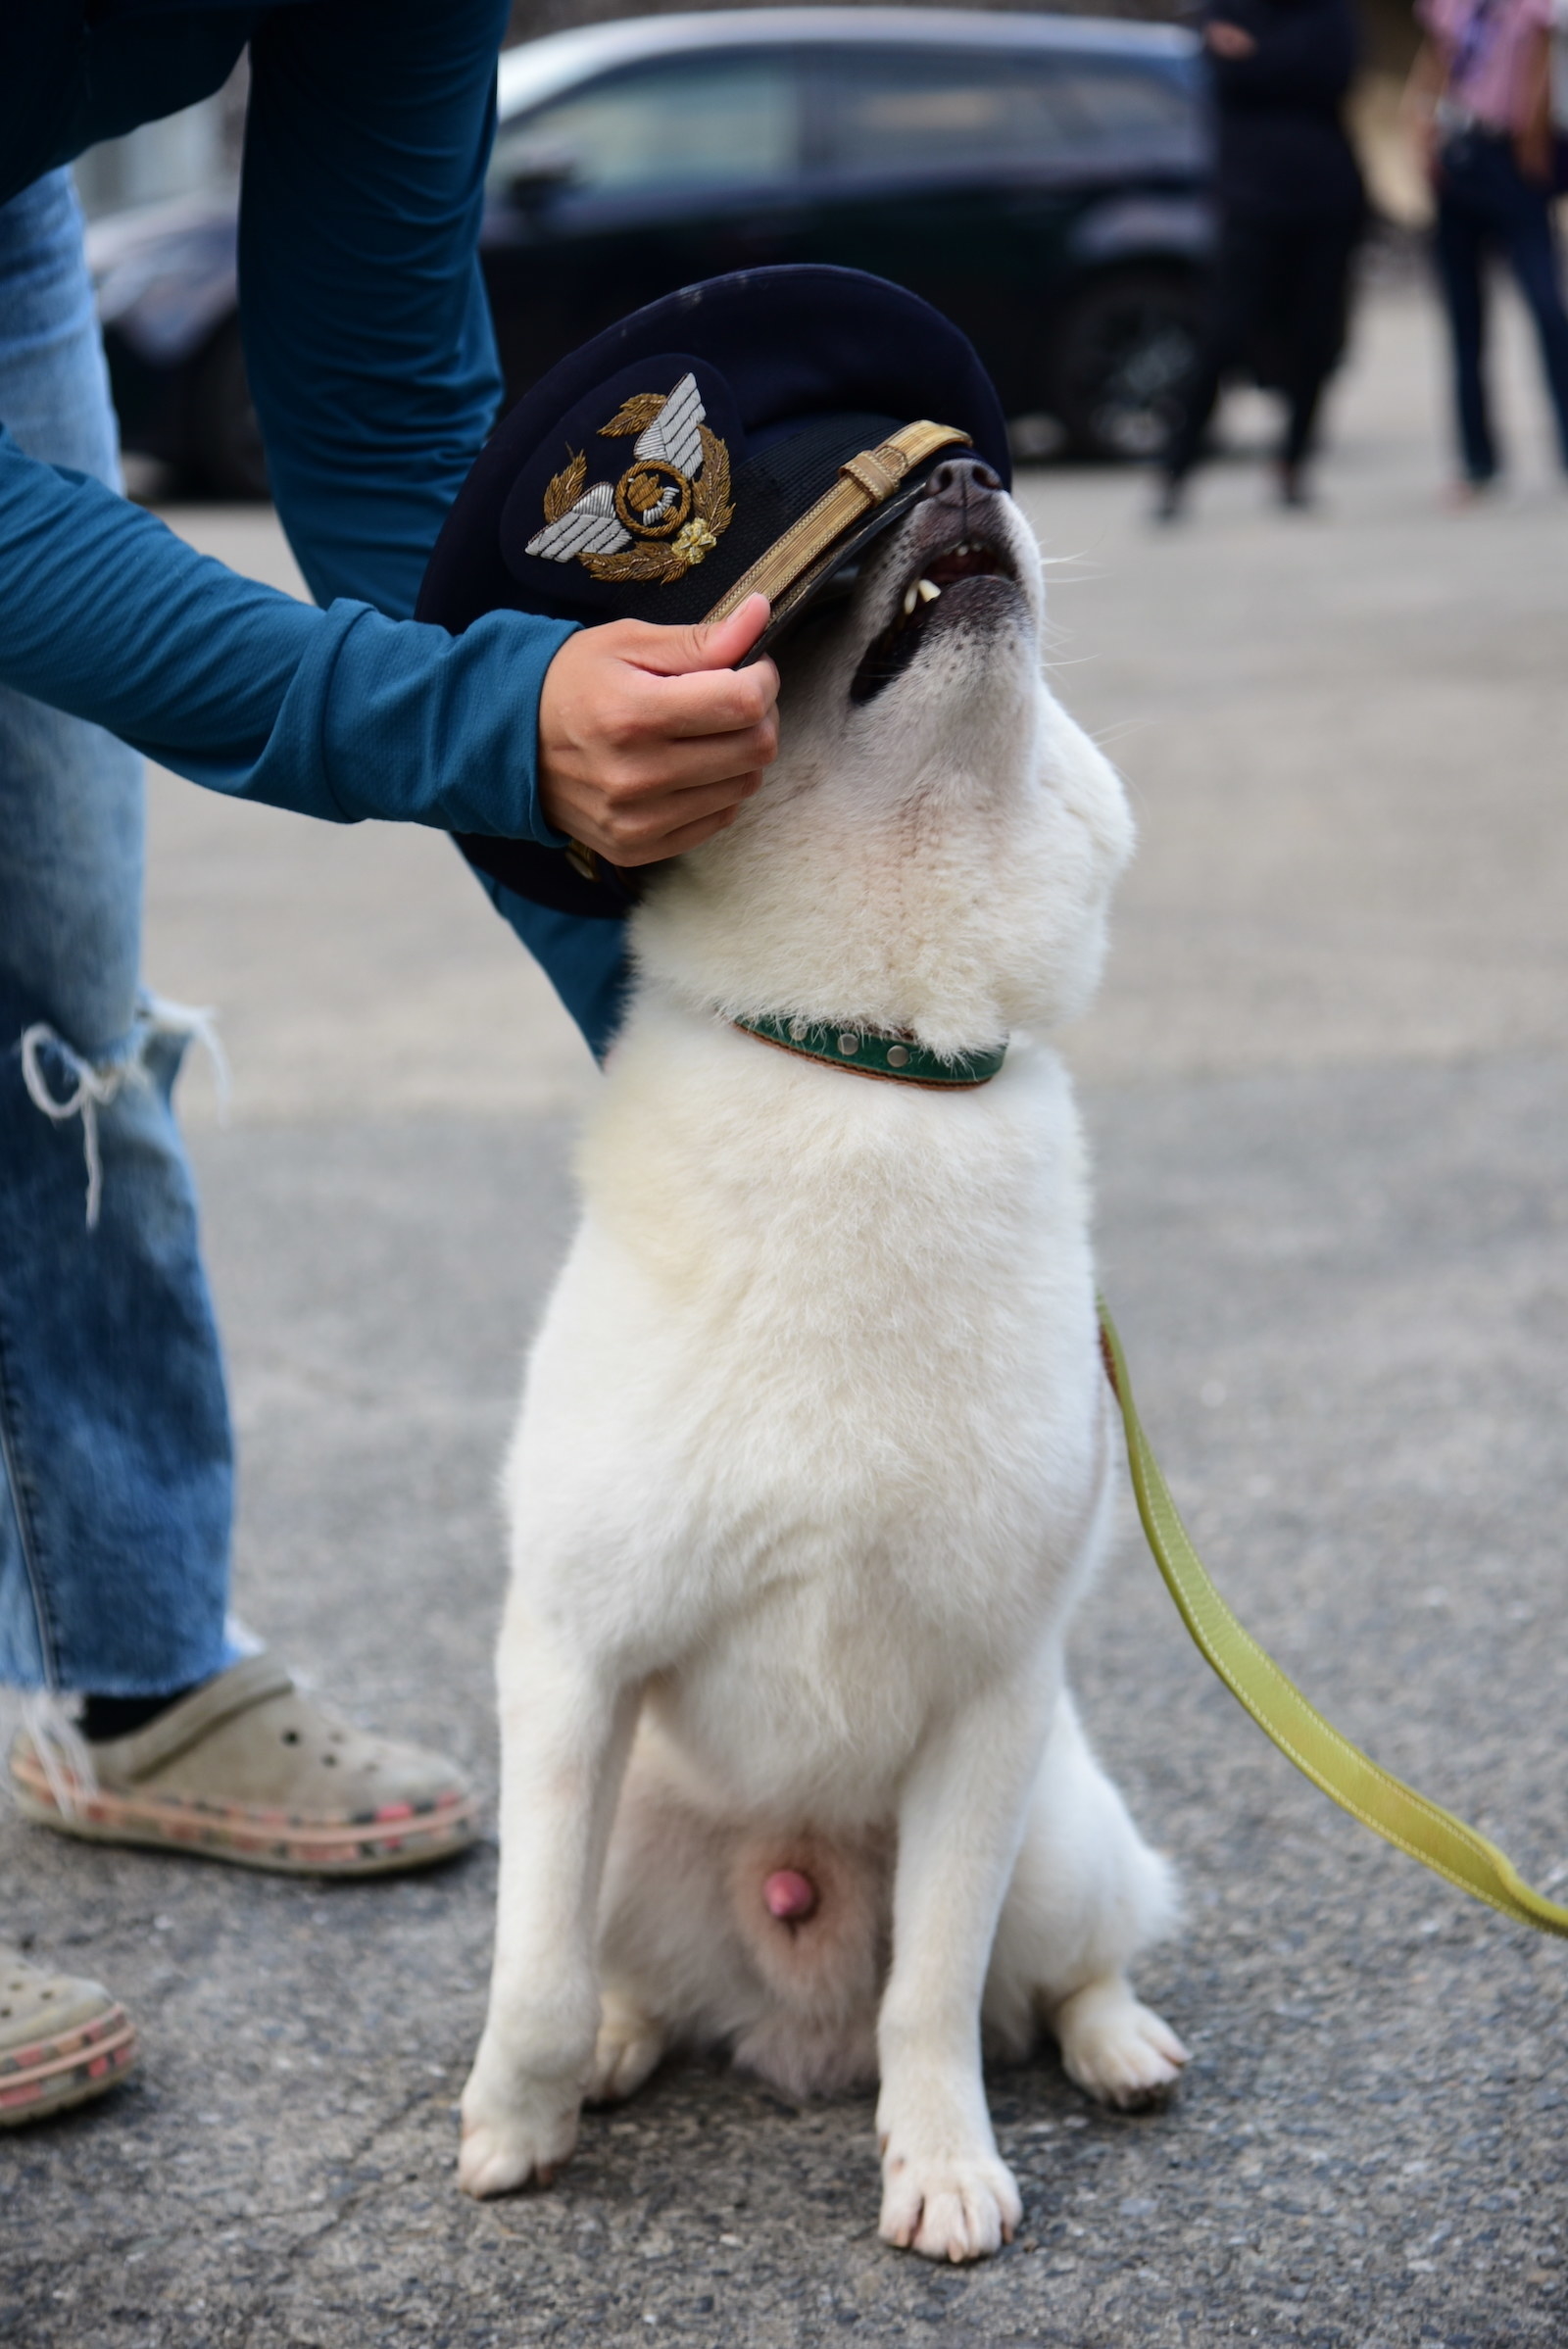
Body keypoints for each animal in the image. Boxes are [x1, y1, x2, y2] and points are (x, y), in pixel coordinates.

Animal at [460, 448, 1183, 2264]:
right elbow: (532, 1973)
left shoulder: (991, 1707)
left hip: (1059, 1823)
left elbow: (933, 1990)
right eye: (844, 561)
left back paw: (1120, 2043)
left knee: (1061, 1964)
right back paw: (627, 2045)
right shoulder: (571, 1668)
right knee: (623, 1973)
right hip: (641, 1822)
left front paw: (940, 2164)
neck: (876, 1059)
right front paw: (515, 2122)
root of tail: (789, 2004)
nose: (974, 472)